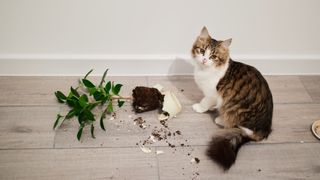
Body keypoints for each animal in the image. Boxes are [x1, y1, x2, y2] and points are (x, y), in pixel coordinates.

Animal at [191, 26, 274, 170]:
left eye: (213, 56)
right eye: (202, 51)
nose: (204, 60)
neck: (204, 70)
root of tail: (265, 129)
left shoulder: (213, 94)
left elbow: (205, 102)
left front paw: (200, 108)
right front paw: (211, 108)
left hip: (235, 108)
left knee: (238, 125)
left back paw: (220, 119)